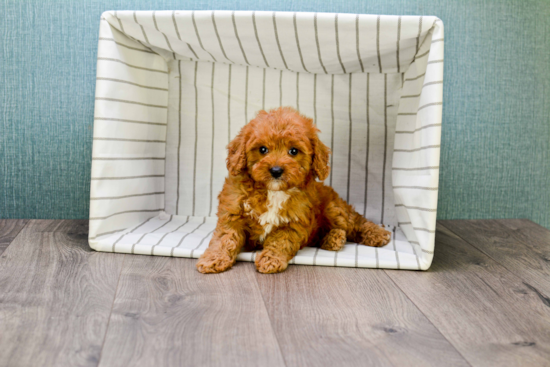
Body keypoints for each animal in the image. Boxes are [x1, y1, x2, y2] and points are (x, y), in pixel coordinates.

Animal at [196, 106, 390, 274]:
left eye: (293, 151)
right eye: (263, 149)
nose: (276, 170)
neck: (273, 191)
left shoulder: (293, 222)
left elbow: (280, 242)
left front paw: (271, 260)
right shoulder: (233, 213)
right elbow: (225, 238)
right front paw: (213, 259)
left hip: (333, 209)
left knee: (355, 221)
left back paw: (376, 234)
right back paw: (333, 239)